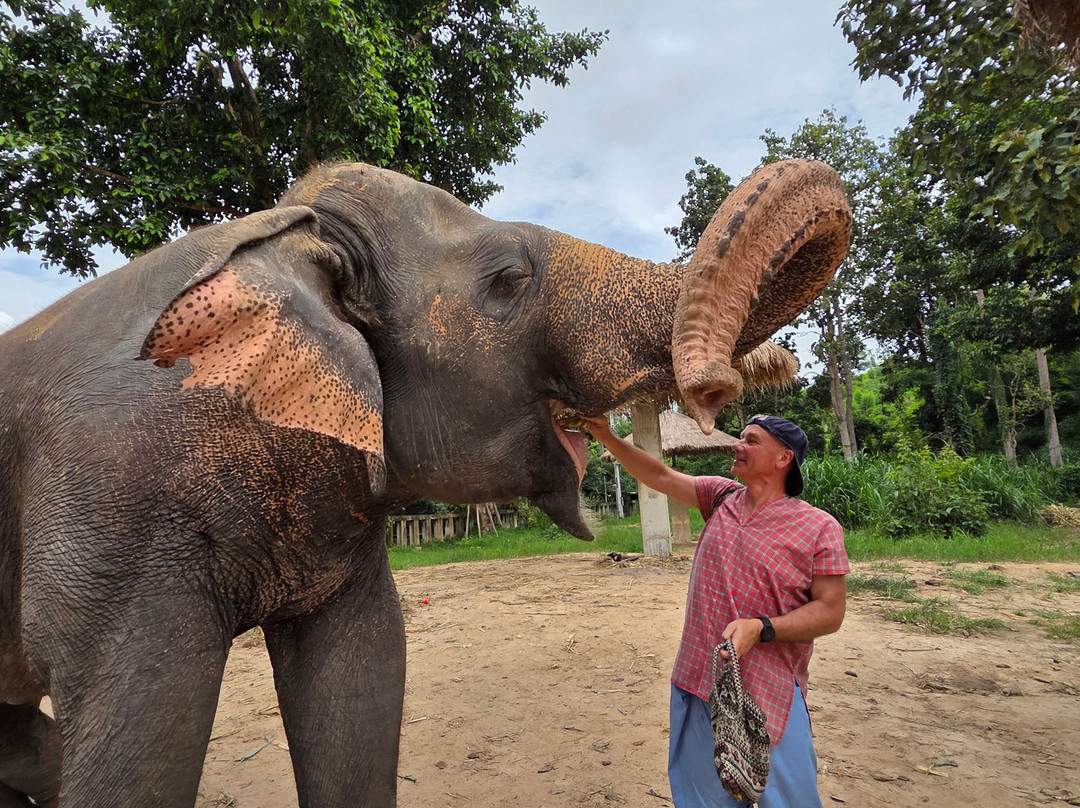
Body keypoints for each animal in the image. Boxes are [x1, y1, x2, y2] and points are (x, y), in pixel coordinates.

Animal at [0, 158, 851, 807]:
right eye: (508, 278)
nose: (719, 397)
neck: (291, 235)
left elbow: (362, 680)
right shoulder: (119, 518)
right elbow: (142, 738)